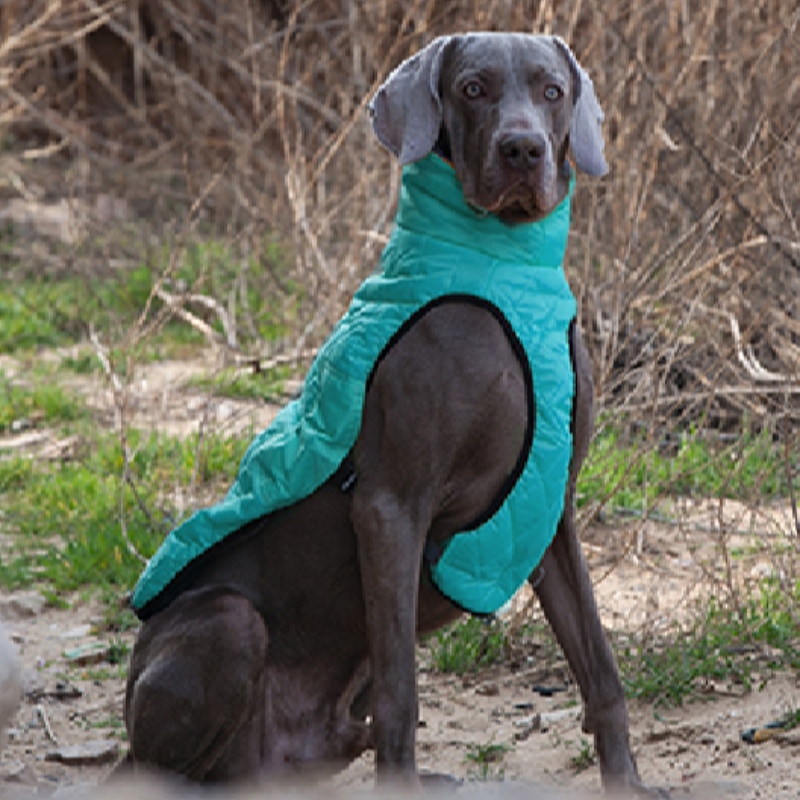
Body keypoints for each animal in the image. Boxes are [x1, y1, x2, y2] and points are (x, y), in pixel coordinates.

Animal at [119, 29, 664, 792]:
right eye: (473, 88)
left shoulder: (548, 507)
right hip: (230, 621)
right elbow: (403, 690)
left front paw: (628, 782)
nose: (523, 149)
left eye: (552, 90)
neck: (502, 268)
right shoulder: (389, 506)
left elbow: (600, 668)